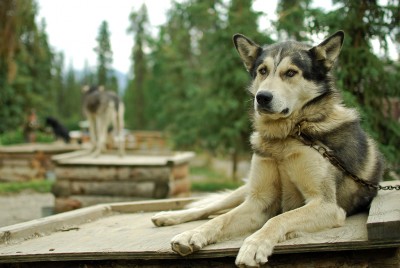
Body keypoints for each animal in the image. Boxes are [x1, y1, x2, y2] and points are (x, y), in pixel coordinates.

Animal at [151, 30, 384, 266]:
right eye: (262, 71)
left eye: (291, 73)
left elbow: (279, 218)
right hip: (244, 191)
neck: (286, 135)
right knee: (210, 208)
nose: (262, 97)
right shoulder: (258, 201)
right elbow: (222, 219)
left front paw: (254, 246)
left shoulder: (325, 205)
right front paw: (193, 234)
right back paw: (169, 217)